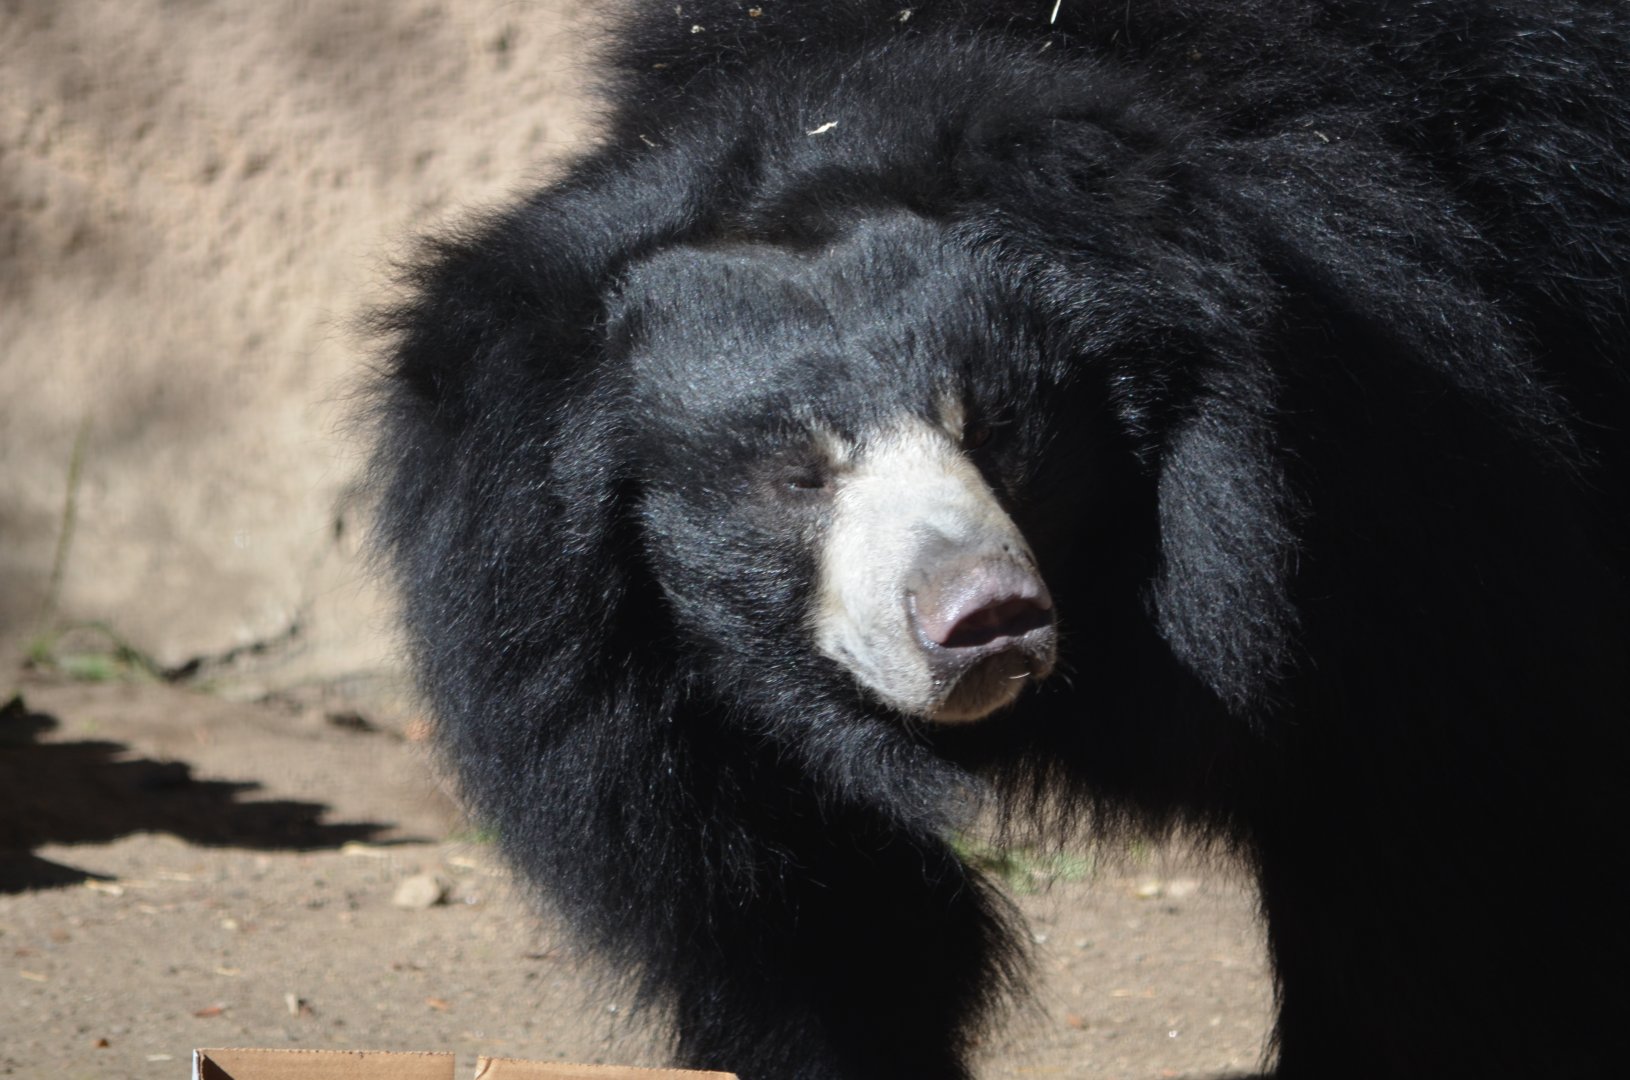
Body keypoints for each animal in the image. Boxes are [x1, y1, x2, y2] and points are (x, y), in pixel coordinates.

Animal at [368, 2, 1630, 1078]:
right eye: (795, 475)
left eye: (994, 424)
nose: (984, 616)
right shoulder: (615, 668)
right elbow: (787, 910)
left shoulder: (1406, 494)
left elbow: (1435, 858)